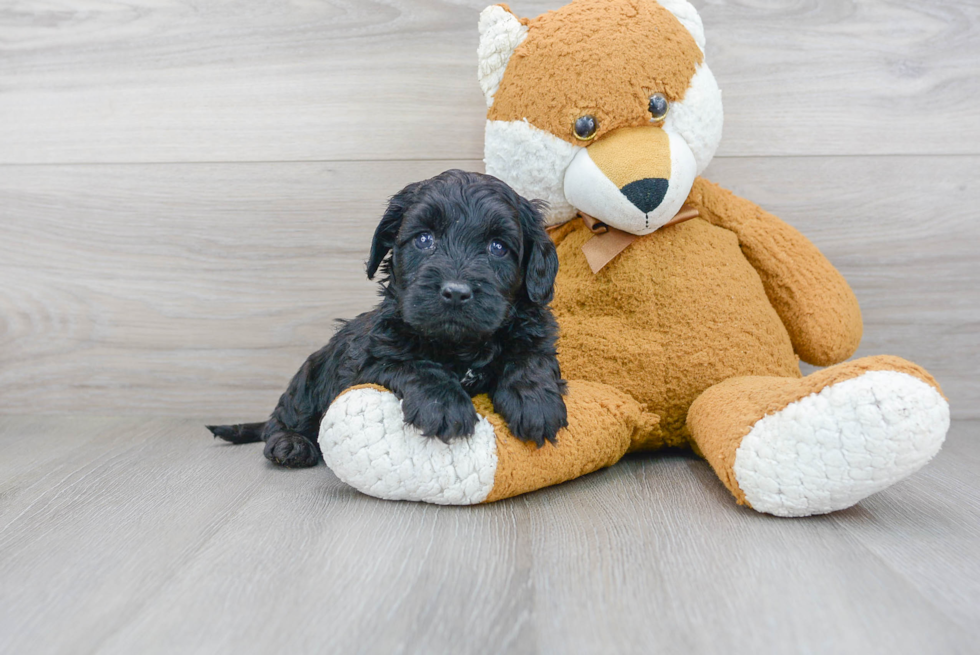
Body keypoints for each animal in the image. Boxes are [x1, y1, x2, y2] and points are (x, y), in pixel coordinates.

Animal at [211, 169, 572, 466]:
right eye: (424, 239)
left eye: (498, 247)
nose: (456, 292)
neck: (460, 346)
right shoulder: (371, 358)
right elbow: (414, 365)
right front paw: (443, 406)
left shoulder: (535, 334)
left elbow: (530, 358)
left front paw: (534, 401)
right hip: (309, 377)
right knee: (282, 419)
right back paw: (290, 444)